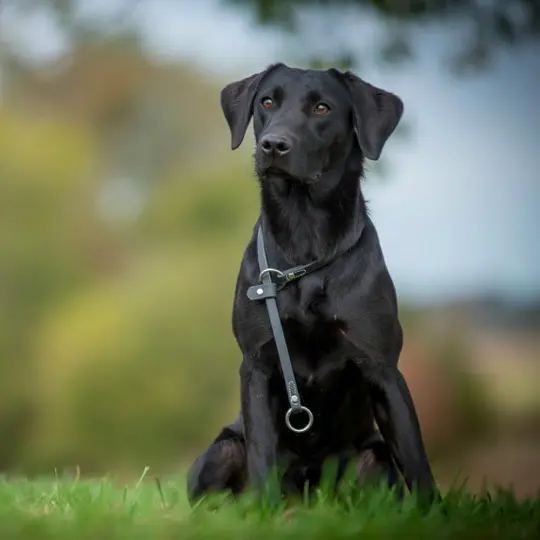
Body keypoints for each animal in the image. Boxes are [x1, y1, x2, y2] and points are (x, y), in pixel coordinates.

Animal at [188, 63, 436, 506]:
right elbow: (262, 455)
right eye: (267, 102)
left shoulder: (383, 367)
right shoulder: (257, 365)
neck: (305, 238)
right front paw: (263, 513)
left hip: (373, 460)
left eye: (322, 107)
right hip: (222, 450)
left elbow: (416, 457)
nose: (273, 145)